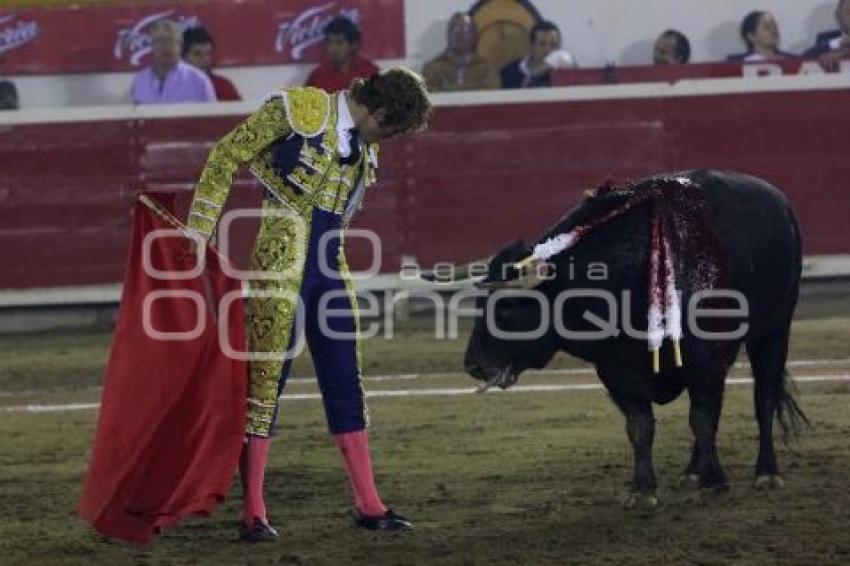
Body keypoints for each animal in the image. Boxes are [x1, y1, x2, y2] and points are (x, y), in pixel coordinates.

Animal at [460, 170, 804, 510]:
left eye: (507, 307)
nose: (474, 365)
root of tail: (780, 201)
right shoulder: (616, 371)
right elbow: (641, 427)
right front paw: (643, 490)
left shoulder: (705, 360)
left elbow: (702, 419)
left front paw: (714, 482)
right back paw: (692, 472)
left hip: (773, 331)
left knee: (764, 397)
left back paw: (766, 473)